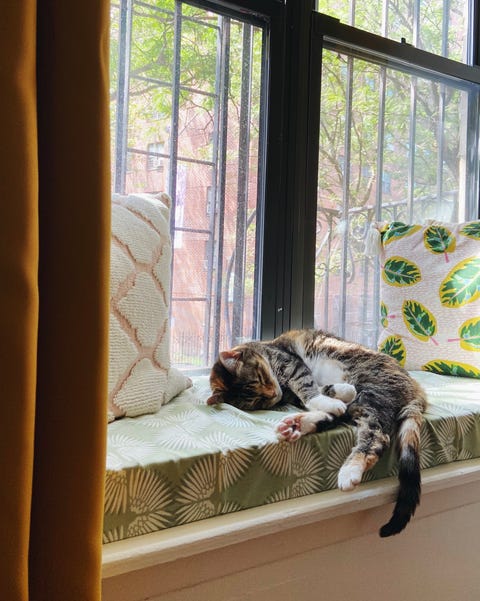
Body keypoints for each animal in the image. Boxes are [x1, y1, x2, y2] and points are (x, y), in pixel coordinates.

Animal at [208, 326, 426, 536]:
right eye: (257, 401)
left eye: (260, 378)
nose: (273, 394)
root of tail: (416, 387)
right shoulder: (291, 390)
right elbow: (318, 392)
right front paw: (335, 398)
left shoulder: (289, 362)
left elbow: (306, 385)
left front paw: (334, 394)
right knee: (344, 414)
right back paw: (298, 424)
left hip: (372, 389)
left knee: (376, 436)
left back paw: (350, 470)